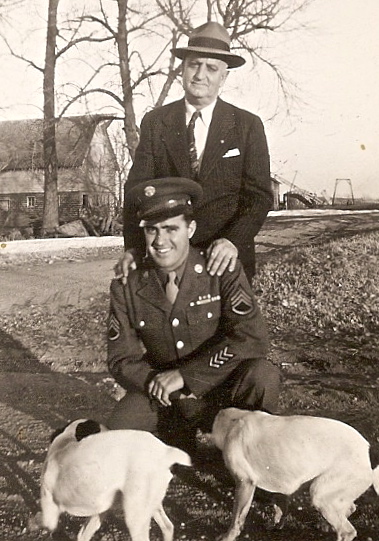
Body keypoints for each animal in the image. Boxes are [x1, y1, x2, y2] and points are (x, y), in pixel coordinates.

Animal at [40, 418, 191, 540]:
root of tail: (165, 452)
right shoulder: (101, 511)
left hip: (135, 517)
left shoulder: (49, 511)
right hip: (150, 504)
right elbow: (84, 534)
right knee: (168, 526)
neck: (65, 440)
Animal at [211, 408, 379, 540]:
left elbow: (236, 518)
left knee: (347, 531)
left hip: (320, 494)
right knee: (350, 509)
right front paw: (276, 524)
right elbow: (280, 507)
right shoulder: (279, 485)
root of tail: (368, 450)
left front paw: (228, 536)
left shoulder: (244, 482)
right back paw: (324, 525)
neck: (233, 421)